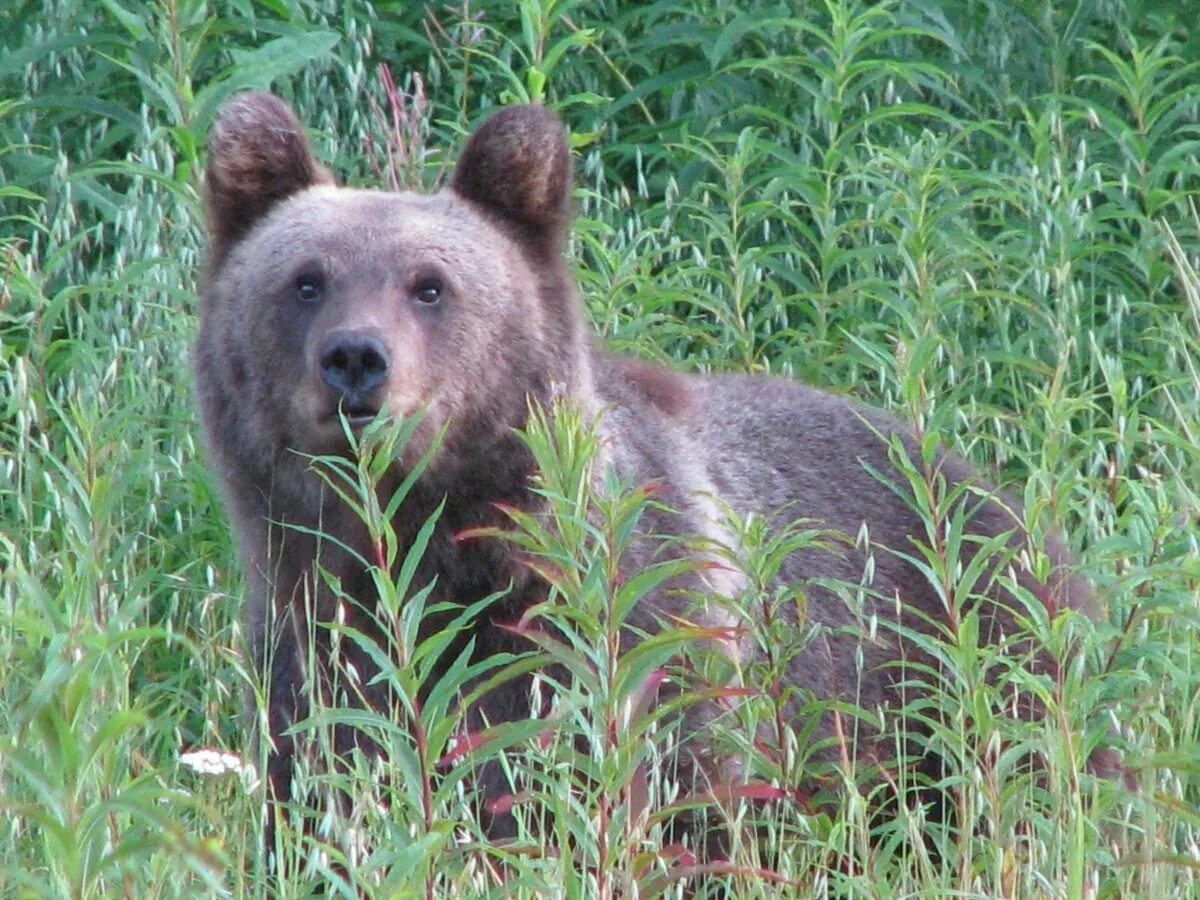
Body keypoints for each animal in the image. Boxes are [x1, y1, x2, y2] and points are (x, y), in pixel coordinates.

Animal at [196, 91, 1104, 854]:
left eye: (430, 286)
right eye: (305, 281)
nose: (355, 360)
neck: (431, 542)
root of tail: (998, 492)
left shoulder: (627, 629)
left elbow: (662, 790)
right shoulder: (312, 637)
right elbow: (324, 786)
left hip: (965, 652)